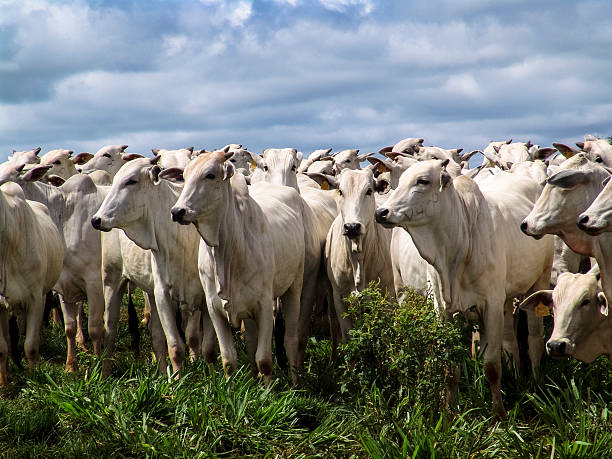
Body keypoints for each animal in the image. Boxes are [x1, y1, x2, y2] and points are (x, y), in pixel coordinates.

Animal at [89, 156, 216, 376]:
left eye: (131, 181)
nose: (96, 220)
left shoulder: (204, 297)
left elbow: (208, 347)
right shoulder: (163, 293)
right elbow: (176, 347)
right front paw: (177, 383)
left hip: (149, 292)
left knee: (156, 338)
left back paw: (161, 374)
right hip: (112, 279)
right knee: (109, 332)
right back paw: (104, 375)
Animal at [169, 150, 304, 384]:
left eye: (210, 175)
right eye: (184, 176)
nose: (178, 211)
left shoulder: (264, 306)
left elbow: (264, 360)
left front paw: (268, 391)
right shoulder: (214, 309)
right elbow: (229, 359)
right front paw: (232, 387)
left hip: (294, 286)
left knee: (291, 339)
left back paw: (295, 383)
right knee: (250, 342)